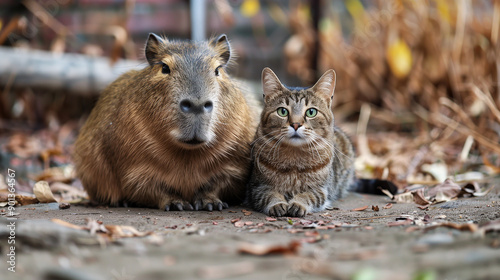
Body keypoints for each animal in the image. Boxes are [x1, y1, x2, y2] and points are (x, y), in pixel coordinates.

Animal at [247, 67, 356, 217]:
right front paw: (277, 203)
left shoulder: (321, 190)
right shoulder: (257, 187)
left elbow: (308, 195)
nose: (296, 124)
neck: (294, 159)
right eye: (282, 111)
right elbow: (269, 195)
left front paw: (298, 203)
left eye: (311, 112)